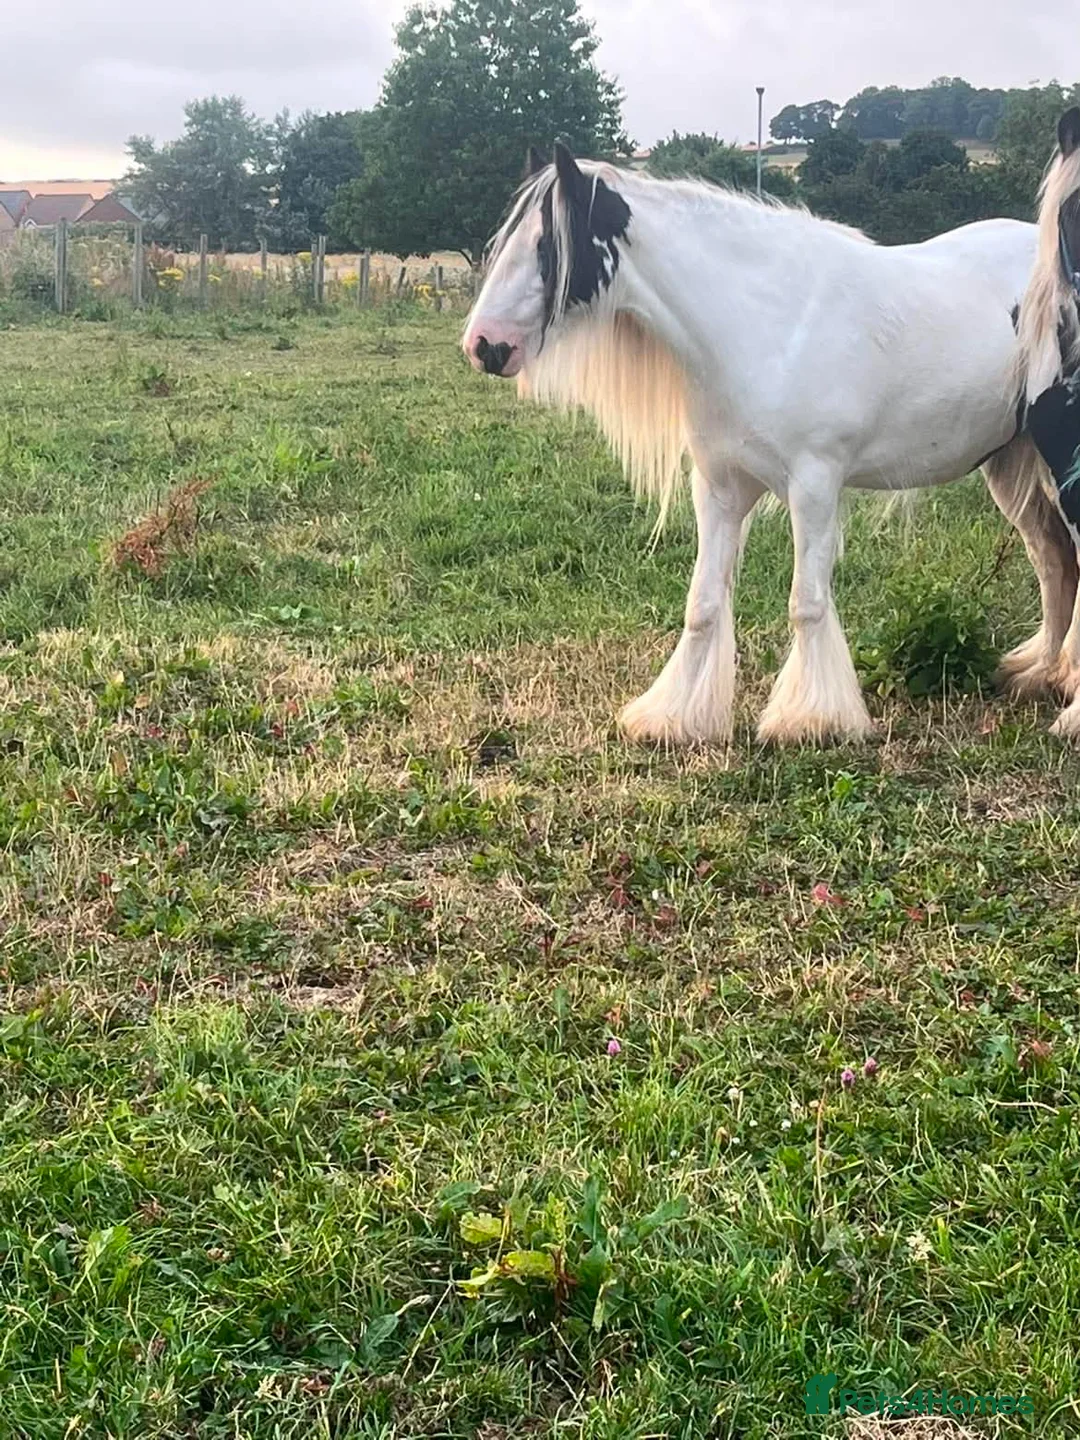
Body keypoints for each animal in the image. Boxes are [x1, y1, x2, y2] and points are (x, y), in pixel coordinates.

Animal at [463, 143, 1073, 746]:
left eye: (546, 246)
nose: (484, 345)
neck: (766, 326)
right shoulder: (719, 489)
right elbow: (703, 603)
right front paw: (675, 718)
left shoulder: (814, 487)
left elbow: (807, 603)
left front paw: (812, 720)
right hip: (1010, 465)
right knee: (1052, 559)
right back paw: (1039, 672)